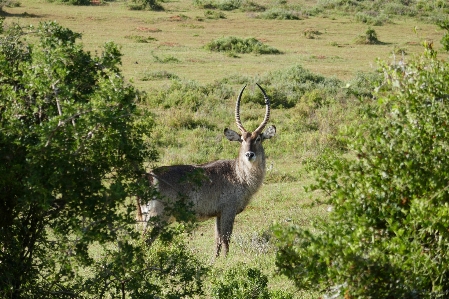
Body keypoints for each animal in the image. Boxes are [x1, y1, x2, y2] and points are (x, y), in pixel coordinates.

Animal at [137, 84, 276, 258]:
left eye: (258, 139)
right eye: (242, 139)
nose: (249, 154)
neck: (239, 174)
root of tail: (147, 177)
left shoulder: (218, 213)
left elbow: (217, 240)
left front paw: (214, 261)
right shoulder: (228, 211)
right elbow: (226, 239)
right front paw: (226, 260)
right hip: (156, 218)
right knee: (144, 243)